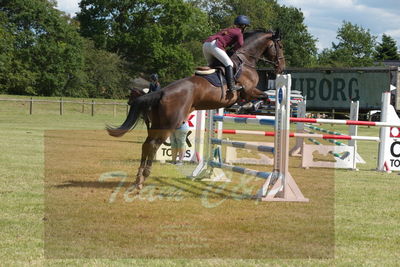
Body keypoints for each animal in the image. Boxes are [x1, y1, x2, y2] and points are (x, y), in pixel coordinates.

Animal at [108, 29, 286, 191]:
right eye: (280, 46)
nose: (281, 69)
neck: (246, 59)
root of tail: (162, 92)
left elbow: (261, 97)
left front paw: (247, 106)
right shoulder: (249, 90)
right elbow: (264, 96)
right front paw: (250, 106)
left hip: (157, 123)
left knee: (146, 144)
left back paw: (137, 178)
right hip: (169, 124)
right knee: (152, 145)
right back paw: (143, 178)